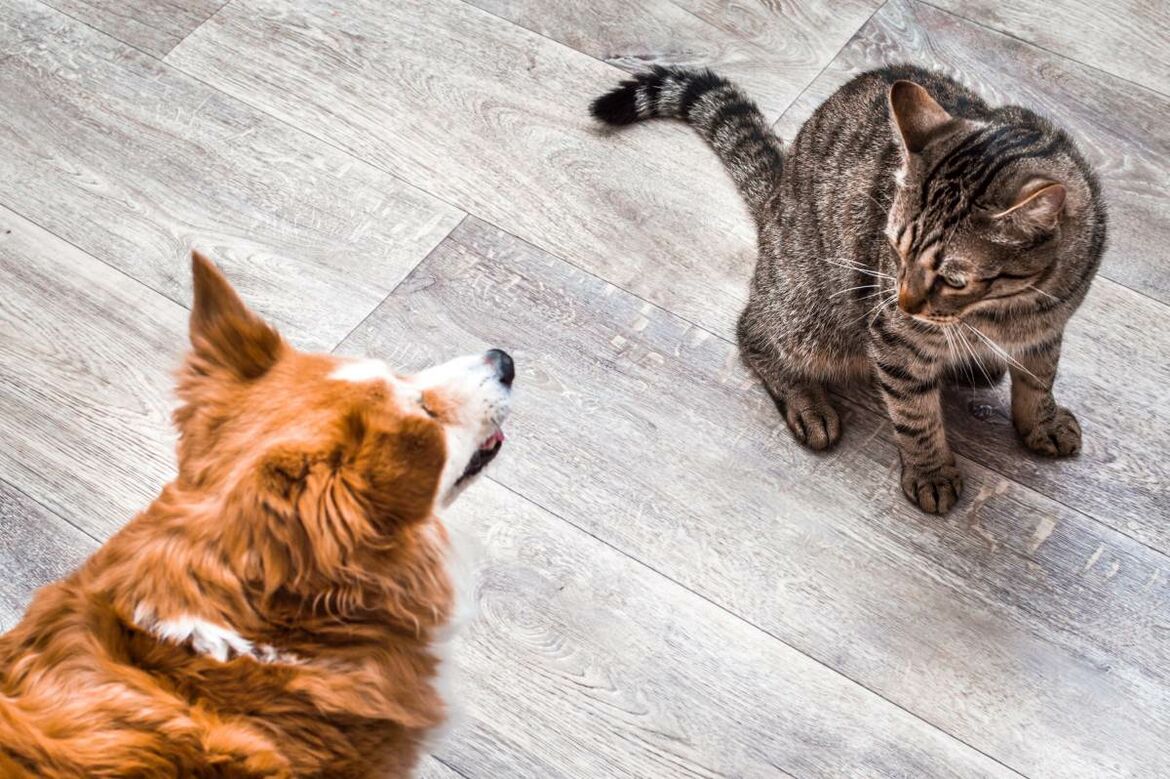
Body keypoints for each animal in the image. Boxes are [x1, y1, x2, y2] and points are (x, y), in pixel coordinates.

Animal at [594, 66, 1104, 512]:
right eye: (894, 248)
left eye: (954, 279)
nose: (904, 301)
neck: (1009, 309)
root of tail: (776, 194)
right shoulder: (896, 338)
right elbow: (915, 417)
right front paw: (930, 472)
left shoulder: (1046, 328)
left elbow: (1039, 379)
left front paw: (1041, 422)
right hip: (808, 316)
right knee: (752, 332)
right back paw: (808, 402)